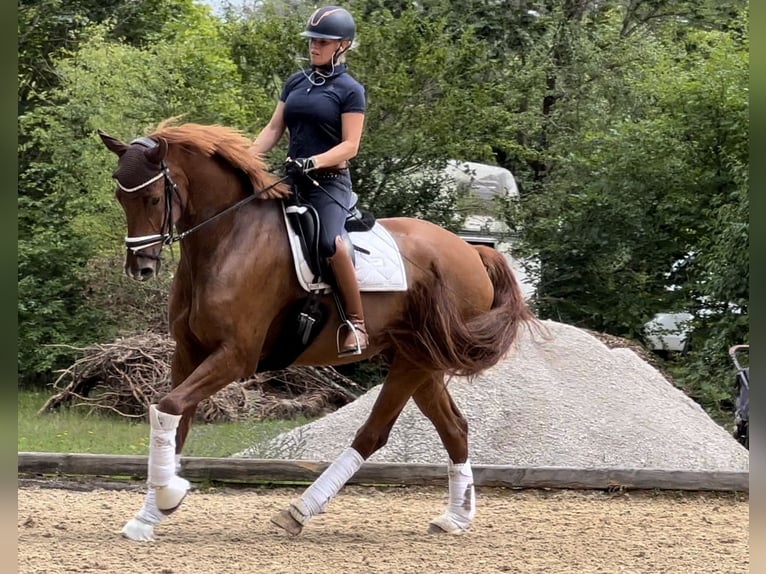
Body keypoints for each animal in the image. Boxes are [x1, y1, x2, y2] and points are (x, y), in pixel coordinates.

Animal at [99, 119, 536, 544]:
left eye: (153, 199)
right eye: (121, 197)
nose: (140, 268)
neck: (228, 237)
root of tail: (472, 250)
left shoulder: (236, 356)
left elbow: (169, 407)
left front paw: (170, 494)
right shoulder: (187, 351)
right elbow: (174, 419)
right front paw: (149, 516)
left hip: (416, 358)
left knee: (373, 433)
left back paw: (298, 511)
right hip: (418, 361)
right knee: (454, 428)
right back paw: (455, 518)